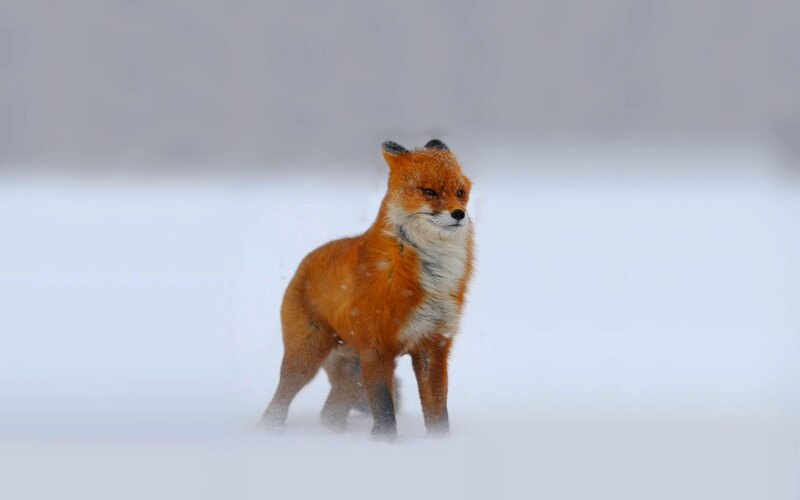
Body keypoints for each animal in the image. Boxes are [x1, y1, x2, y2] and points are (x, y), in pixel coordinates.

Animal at [263, 139, 474, 439]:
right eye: (429, 191)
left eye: (460, 192)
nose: (459, 214)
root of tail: (305, 261)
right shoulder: (377, 349)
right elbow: (384, 411)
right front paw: (386, 444)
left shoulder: (433, 345)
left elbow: (438, 412)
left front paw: (440, 443)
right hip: (306, 358)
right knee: (278, 405)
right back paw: (270, 432)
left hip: (352, 368)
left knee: (330, 413)